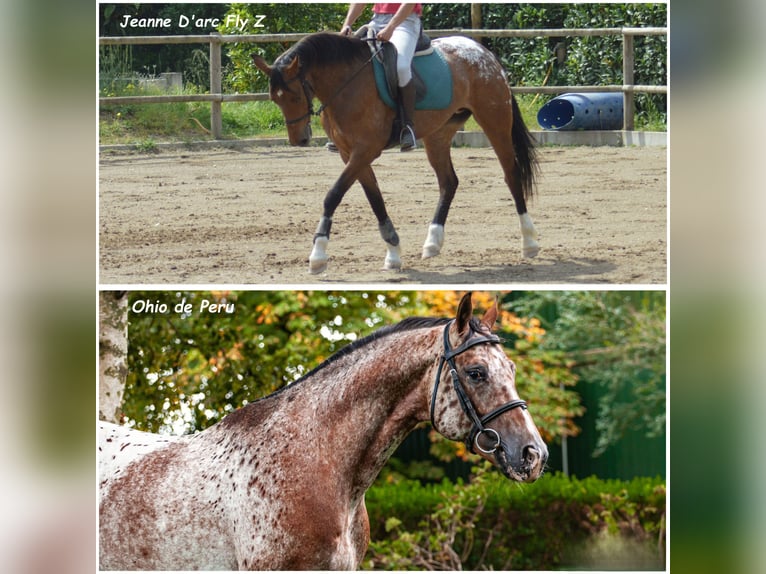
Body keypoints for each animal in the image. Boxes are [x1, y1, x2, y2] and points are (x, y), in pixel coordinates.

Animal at [252, 32, 540, 276]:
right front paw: (393, 252)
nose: (299, 140)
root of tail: (484, 52)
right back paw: (432, 243)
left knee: (511, 174)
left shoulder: (364, 150)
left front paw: (318, 255)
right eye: (275, 99)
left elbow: (333, 195)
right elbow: (375, 198)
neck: (347, 83)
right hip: (439, 134)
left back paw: (529, 242)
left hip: (494, 121)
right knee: (449, 182)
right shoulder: (350, 153)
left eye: (293, 95)